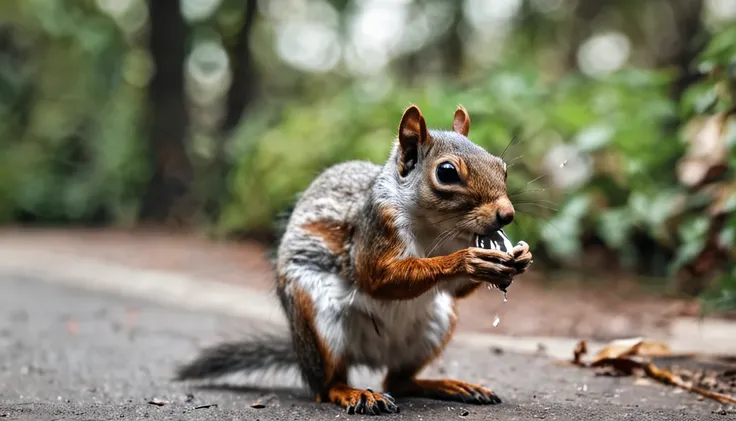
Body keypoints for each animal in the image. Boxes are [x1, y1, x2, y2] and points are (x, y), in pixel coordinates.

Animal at [178, 104, 536, 414]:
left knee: (399, 380)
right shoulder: (375, 226)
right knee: (328, 385)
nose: (506, 215)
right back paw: (355, 393)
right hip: (316, 315)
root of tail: (369, 354)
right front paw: (467, 260)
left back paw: (449, 386)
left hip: (435, 324)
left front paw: (521, 256)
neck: (437, 227)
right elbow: (377, 277)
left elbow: (456, 289)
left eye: (502, 167)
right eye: (446, 172)